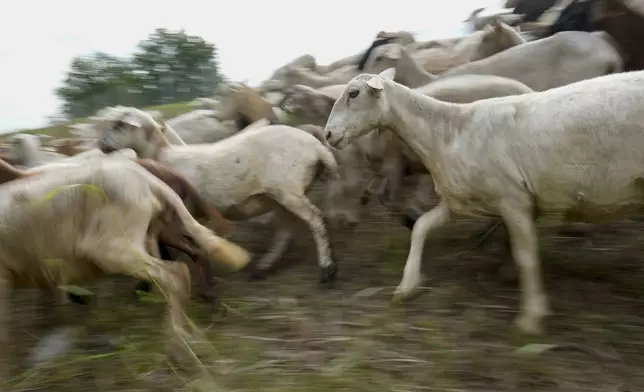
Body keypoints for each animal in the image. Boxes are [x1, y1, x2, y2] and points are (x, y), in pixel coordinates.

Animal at [0, 158, 252, 378]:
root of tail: (148, 180)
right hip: (149, 237)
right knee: (180, 270)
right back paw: (191, 335)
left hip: (115, 248)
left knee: (176, 274)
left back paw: (178, 348)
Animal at [94, 106, 342, 282]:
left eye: (118, 125)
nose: (101, 145)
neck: (163, 155)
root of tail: (314, 145)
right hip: (280, 195)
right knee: (286, 230)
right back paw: (263, 267)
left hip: (287, 189)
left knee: (315, 220)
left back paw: (327, 268)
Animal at [322, 69, 644, 334]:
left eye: (353, 93)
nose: (327, 134)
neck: (447, 132)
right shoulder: (459, 202)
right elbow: (421, 227)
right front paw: (407, 286)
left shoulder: (514, 200)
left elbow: (527, 258)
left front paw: (531, 318)